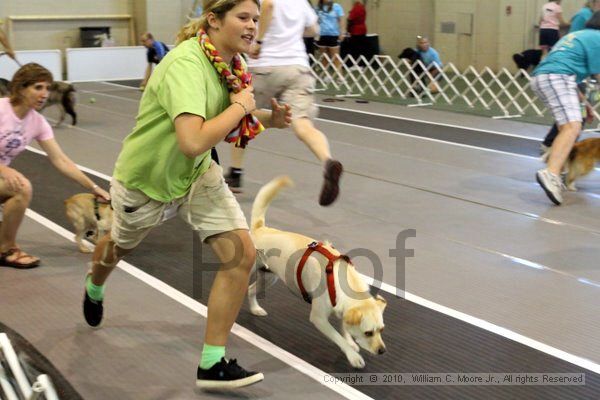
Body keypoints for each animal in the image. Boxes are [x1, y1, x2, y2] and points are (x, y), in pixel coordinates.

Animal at [248, 177, 390, 370]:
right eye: (368, 333)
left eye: (381, 330)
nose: (382, 351)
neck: (338, 282)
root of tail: (260, 229)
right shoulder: (318, 318)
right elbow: (338, 337)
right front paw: (352, 355)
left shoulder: (342, 310)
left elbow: (344, 327)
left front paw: (350, 341)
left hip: (270, 278)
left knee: (251, 290)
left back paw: (255, 309)